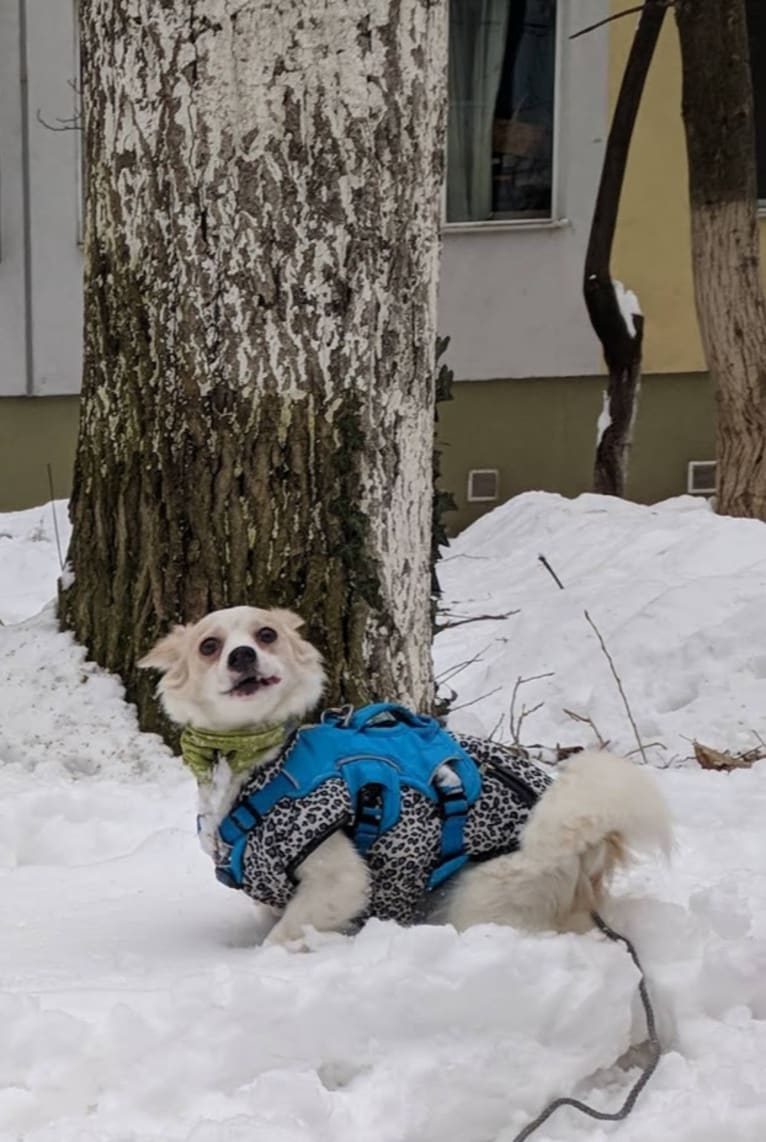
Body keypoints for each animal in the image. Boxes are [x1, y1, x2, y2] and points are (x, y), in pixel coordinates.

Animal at [140, 607, 675, 945]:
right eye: (210, 646)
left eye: (266, 634)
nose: (242, 655)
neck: (250, 761)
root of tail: (592, 845)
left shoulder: (340, 880)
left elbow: (284, 934)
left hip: (484, 896)